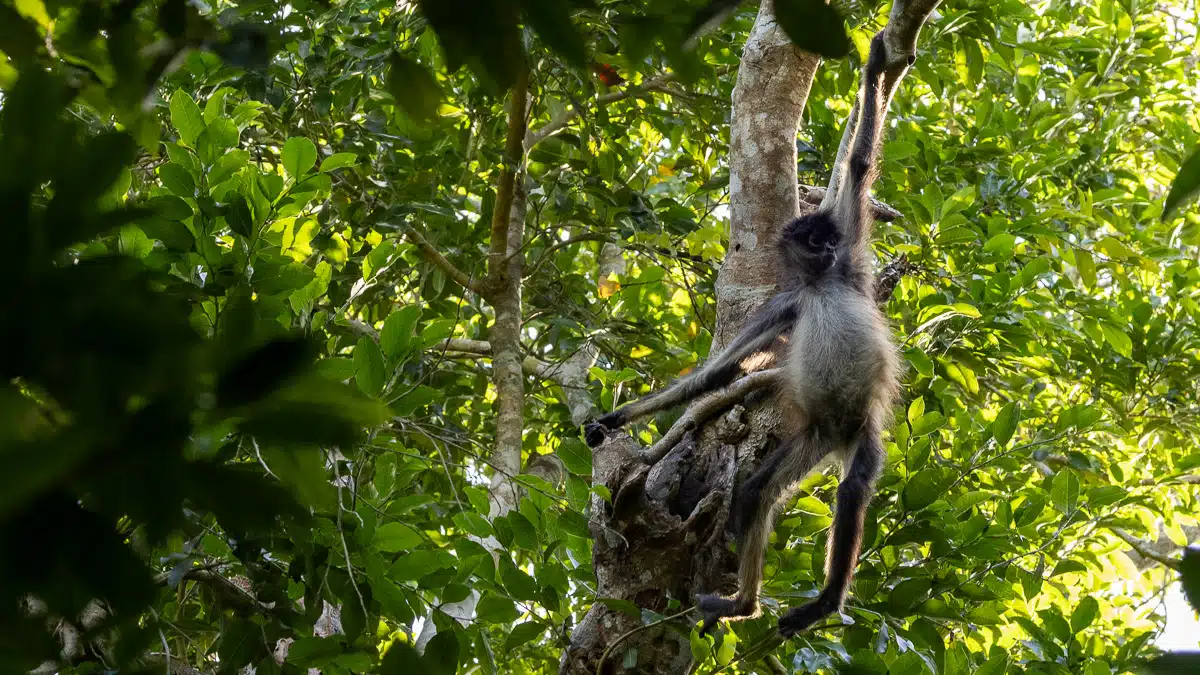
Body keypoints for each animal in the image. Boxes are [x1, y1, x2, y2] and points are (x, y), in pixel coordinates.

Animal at [584, 33, 908, 638]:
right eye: (813, 241)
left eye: (831, 240)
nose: (828, 250)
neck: (820, 286)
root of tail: (840, 433)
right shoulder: (785, 304)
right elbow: (718, 372)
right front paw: (613, 421)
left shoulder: (852, 270)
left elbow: (858, 164)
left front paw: (876, 66)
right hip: (814, 437)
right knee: (757, 491)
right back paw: (744, 603)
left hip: (863, 434)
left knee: (852, 490)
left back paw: (823, 602)